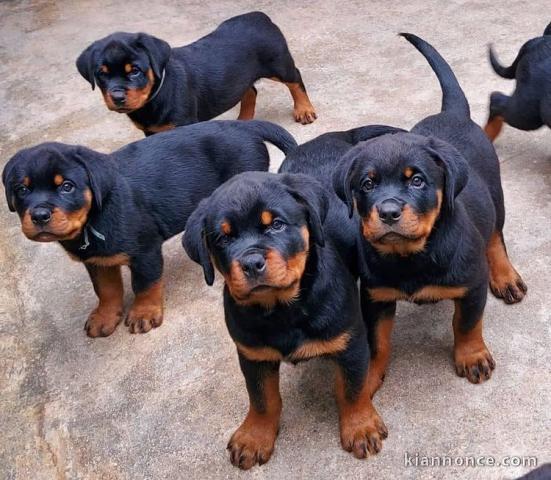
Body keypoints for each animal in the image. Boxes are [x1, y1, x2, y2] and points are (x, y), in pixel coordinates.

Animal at [3, 120, 298, 338]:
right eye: (22, 190)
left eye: (67, 186)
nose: (39, 215)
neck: (94, 217)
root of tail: (244, 125)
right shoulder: (96, 260)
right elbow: (106, 290)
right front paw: (104, 317)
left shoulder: (144, 249)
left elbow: (144, 284)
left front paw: (143, 314)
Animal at [78, 11, 320, 135]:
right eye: (102, 74)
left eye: (135, 71)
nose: (117, 97)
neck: (155, 95)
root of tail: (260, 16)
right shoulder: (152, 132)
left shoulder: (183, 125)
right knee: (250, 90)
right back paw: (243, 120)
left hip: (278, 64)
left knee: (295, 79)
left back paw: (304, 109)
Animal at [183, 136, 404, 468]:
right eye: (222, 239)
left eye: (276, 225)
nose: (251, 263)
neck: (282, 308)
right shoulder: (252, 354)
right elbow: (262, 398)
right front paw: (254, 437)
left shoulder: (350, 343)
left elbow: (352, 389)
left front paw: (360, 426)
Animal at [332, 35, 528, 392]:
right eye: (367, 184)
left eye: (417, 181)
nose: (389, 211)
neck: (411, 255)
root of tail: (452, 113)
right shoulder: (375, 297)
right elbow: (378, 340)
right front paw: (369, 375)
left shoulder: (472, 285)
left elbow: (466, 324)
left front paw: (472, 356)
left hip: (496, 195)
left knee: (495, 235)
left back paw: (506, 276)